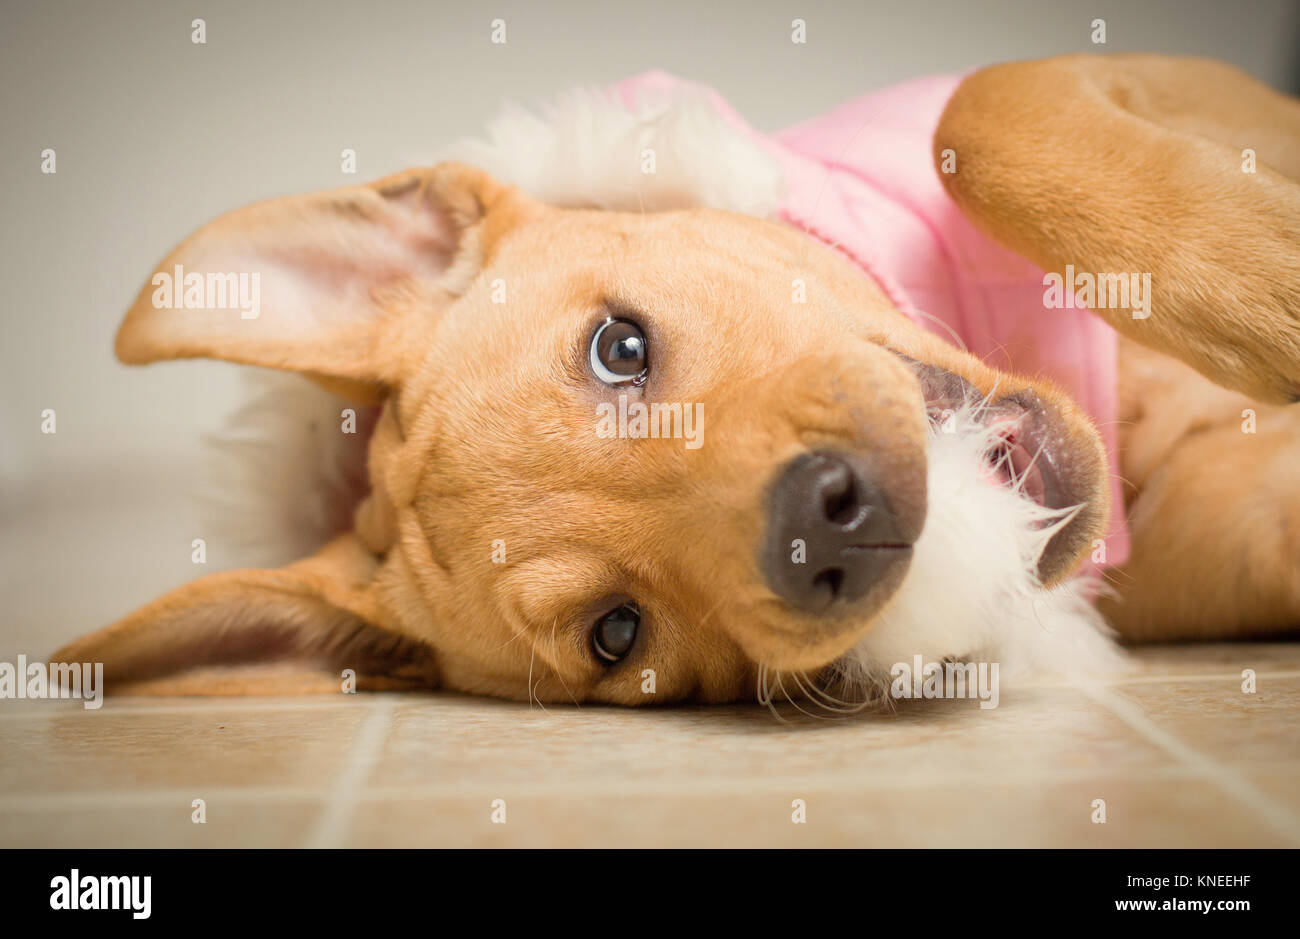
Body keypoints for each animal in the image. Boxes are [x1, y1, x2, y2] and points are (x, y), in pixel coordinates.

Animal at [50, 52, 1300, 702]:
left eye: (620, 348)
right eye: (617, 633)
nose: (832, 526)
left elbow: (981, 116)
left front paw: (1262, 277)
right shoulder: (1225, 534)